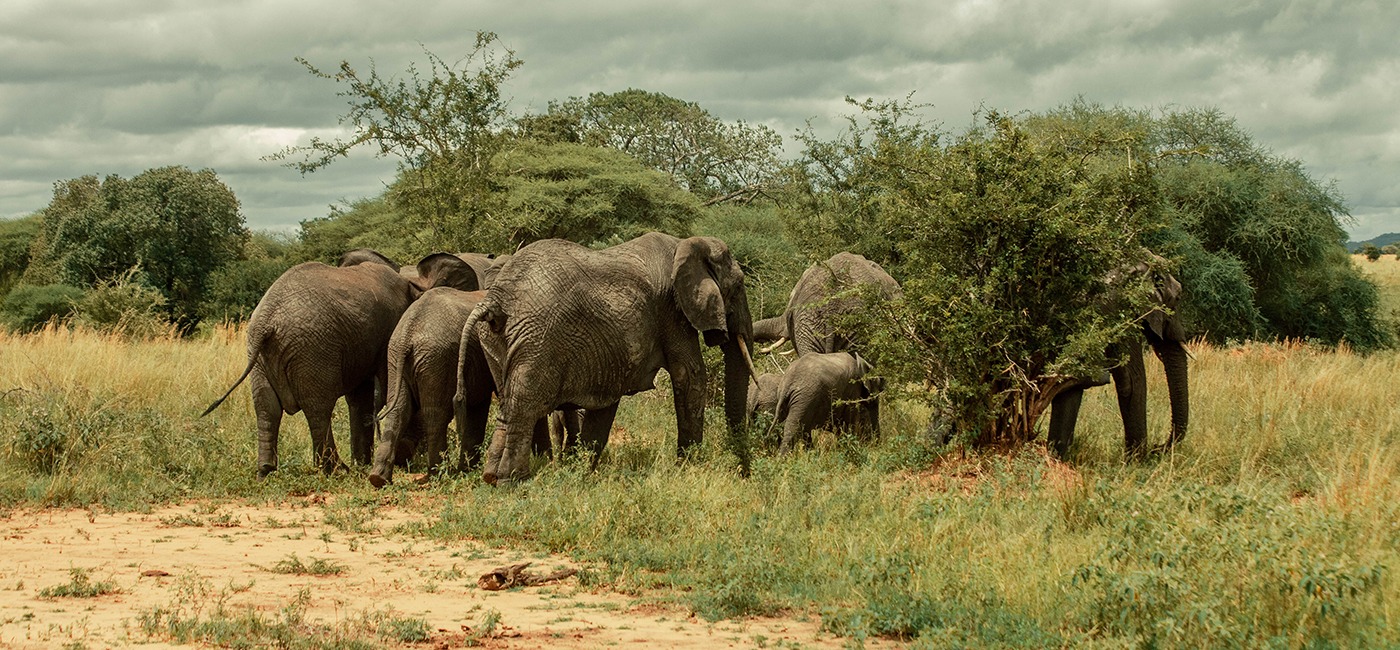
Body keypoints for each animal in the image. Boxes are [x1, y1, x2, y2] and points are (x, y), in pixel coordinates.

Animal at [200, 250, 478, 473]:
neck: (410, 280)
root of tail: (267, 318)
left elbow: (361, 398)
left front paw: (365, 463)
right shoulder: (389, 329)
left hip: (259, 355)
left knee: (266, 405)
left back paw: (267, 470)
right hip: (312, 348)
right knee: (318, 407)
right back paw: (335, 469)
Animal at [369, 285, 576, 487]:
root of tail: (408, 332)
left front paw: (468, 470)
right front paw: (547, 462)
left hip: (397, 358)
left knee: (399, 411)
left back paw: (379, 479)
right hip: (437, 360)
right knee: (436, 415)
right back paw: (439, 474)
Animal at [462, 232, 761, 481]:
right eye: (738, 287)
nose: (744, 472)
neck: (688, 242)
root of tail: (496, 300)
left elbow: (605, 400)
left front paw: (582, 473)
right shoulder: (672, 311)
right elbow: (690, 376)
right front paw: (688, 468)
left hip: (495, 340)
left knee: (506, 402)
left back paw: (491, 478)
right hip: (537, 339)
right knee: (523, 406)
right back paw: (512, 481)